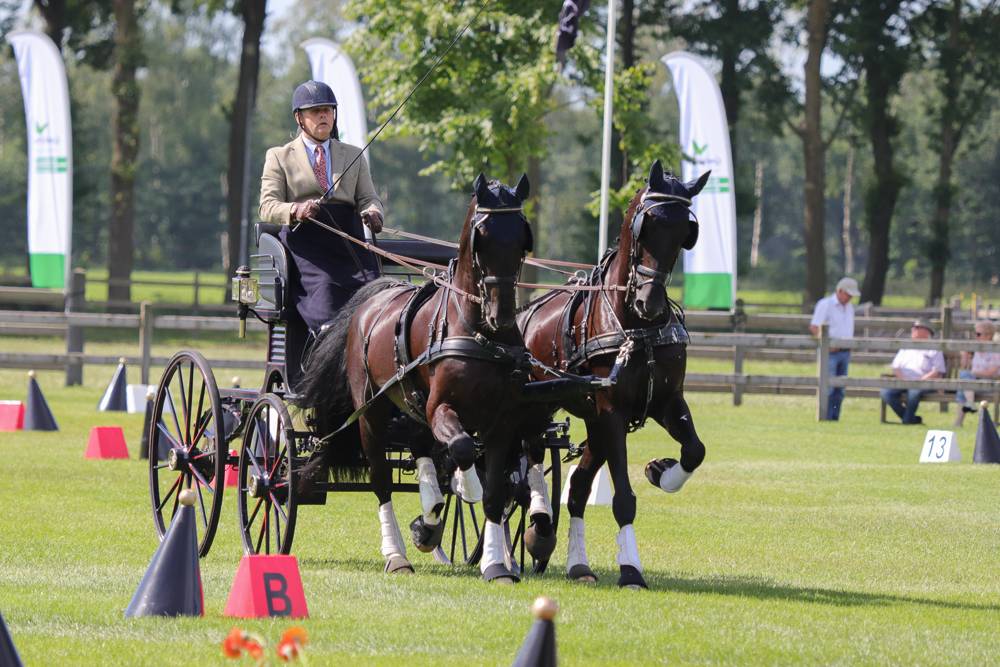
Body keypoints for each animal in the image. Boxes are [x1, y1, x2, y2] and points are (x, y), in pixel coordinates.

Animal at [297, 173, 545, 582]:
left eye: (523, 236)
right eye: (482, 237)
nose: (503, 314)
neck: (479, 335)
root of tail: (375, 298)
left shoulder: (502, 422)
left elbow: (496, 492)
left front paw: (495, 563)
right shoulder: (441, 408)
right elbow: (463, 450)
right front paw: (465, 486)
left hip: (411, 403)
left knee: (420, 448)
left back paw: (429, 522)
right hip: (371, 413)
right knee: (382, 479)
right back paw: (397, 553)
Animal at [518, 160, 710, 589]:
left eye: (685, 232)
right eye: (647, 224)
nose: (649, 301)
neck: (636, 326)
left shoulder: (665, 401)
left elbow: (695, 450)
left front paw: (661, 472)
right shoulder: (612, 411)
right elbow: (623, 498)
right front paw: (631, 570)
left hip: (591, 420)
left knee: (576, 487)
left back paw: (578, 565)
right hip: (539, 406)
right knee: (529, 457)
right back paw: (539, 525)